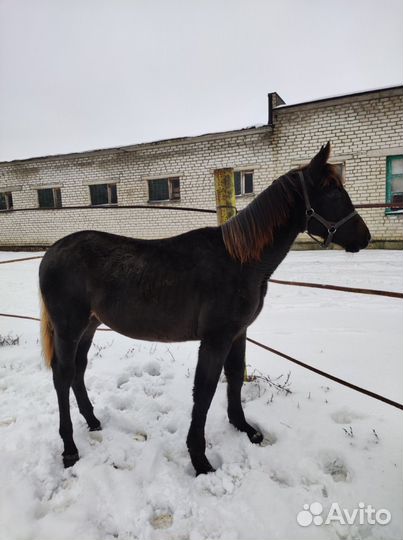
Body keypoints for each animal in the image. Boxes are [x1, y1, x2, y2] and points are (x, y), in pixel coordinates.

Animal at [39, 142, 370, 472]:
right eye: (333, 192)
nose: (365, 237)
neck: (240, 261)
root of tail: (51, 252)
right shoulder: (215, 339)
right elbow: (205, 390)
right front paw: (199, 458)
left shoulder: (237, 333)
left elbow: (234, 377)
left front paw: (244, 427)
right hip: (69, 329)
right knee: (63, 376)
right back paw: (69, 449)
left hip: (90, 325)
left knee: (78, 371)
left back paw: (93, 420)